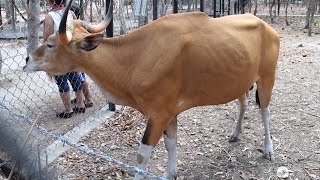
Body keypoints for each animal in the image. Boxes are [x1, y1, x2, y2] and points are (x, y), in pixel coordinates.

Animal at [25, 0, 280, 178]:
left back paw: (268, 148)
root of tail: (268, 28)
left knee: (265, 111)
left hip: (267, 79)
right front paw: (170, 173)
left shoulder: (158, 115)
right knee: (243, 103)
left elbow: (141, 157)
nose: (27, 59)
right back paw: (236, 133)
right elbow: (170, 144)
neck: (137, 57)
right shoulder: (169, 114)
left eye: (50, 43)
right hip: (241, 81)